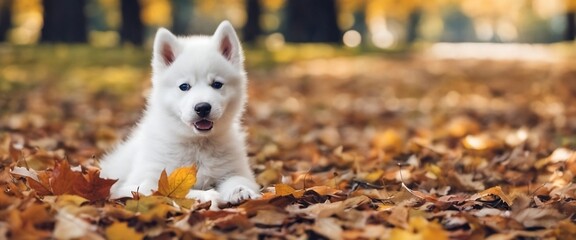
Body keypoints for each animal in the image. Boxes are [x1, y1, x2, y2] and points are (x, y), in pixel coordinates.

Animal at [99, 20, 260, 205]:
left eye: (217, 84)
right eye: (184, 86)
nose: (202, 107)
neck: (198, 145)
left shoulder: (235, 170)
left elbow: (238, 179)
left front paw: (241, 191)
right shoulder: (143, 184)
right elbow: (175, 192)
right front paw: (207, 195)